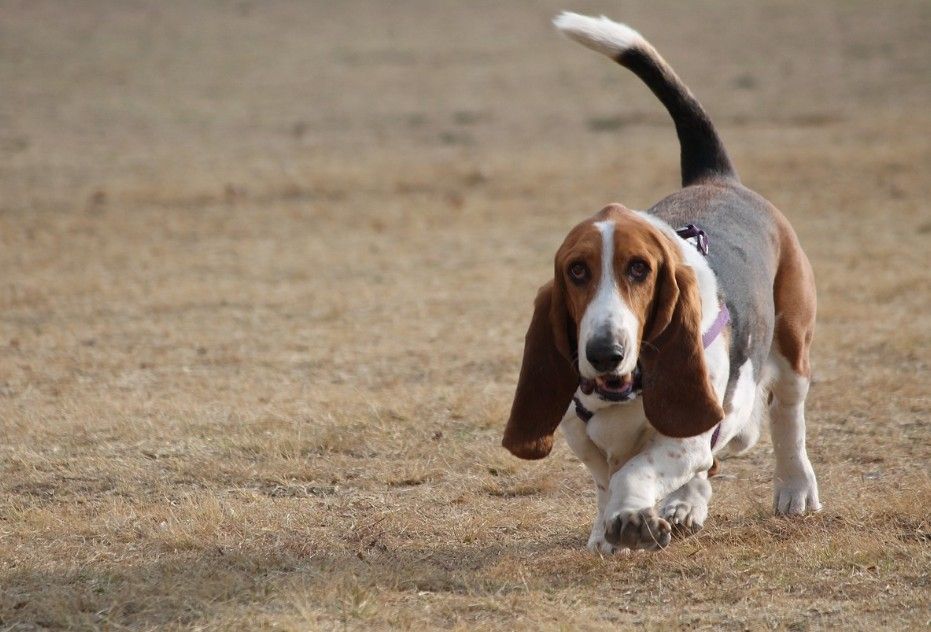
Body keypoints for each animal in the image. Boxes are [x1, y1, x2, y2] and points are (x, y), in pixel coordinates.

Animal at [502, 11, 824, 552]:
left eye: (639, 269)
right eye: (576, 271)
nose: (604, 352)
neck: (624, 390)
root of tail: (715, 176)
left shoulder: (685, 435)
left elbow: (636, 470)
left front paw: (631, 517)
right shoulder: (582, 436)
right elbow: (607, 477)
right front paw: (608, 531)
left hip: (790, 344)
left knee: (784, 417)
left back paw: (793, 489)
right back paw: (686, 504)